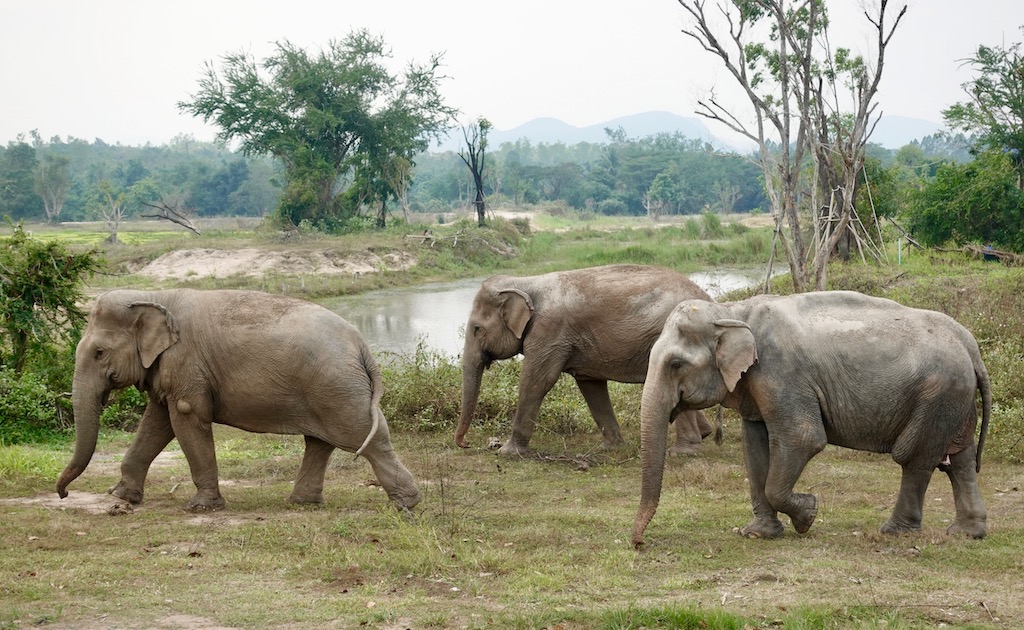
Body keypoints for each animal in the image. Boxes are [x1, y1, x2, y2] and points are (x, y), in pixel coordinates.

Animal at [56, 289, 421, 512]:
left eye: (99, 353)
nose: (63, 493)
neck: (154, 295)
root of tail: (362, 344)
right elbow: (156, 422)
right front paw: (121, 497)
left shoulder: (186, 364)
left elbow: (186, 417)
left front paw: (201, 507)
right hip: (330, 389)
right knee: (320, 442)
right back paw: (301, 503)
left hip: (337, 387)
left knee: (367, 437)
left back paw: (407, 504)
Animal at [456, 264, 718, 456]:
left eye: (477, 329)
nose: (466, 444)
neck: (525, 281)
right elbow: (591, 385)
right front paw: (610, 448)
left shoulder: (549, 332)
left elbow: (536, 381)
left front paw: (508, 453)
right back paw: (704, 434)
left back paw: (684, 451)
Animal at [632, 290, 991, 547]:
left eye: (676, 364)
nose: (638, 544)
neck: (732, 311)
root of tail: (970, 343)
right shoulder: (757, 385)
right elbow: (755, 446)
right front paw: (758, 533)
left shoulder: (781, 374)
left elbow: (802, 438)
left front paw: (807, 515)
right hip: (954, 398)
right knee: (959, 460)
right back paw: (966, 532)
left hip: (938, 393)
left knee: (914, 458)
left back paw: (895, 532)